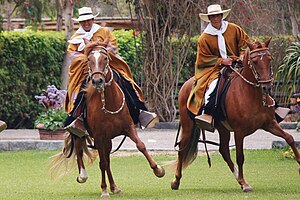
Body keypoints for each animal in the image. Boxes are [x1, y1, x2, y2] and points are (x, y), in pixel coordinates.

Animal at [50, 45, 165, 197]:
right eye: (89, 60)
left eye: (105, 58)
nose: (97, 81)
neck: (109, 103)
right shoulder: (99, 136)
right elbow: (102, 163)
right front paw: (104, 190)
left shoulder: (128, 128)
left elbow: (141, 146)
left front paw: (158, 170)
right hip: (83, 134)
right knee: (80, 151)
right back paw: (83, 175)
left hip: (108, 139)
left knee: (107, 159)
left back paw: (114, 187)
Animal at [171, 38, 300, 192]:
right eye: (254, 61)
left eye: (269, 59)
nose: (266, 87)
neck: (251, 95)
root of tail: (187, 84)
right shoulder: (239, 131)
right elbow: (240, 156)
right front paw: (245, 184)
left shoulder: (270, 124)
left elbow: (290, 138)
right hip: (188, 125)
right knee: (182, 149)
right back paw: (176, 181)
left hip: (223, 129)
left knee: (224, 151)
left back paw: (238, 178)